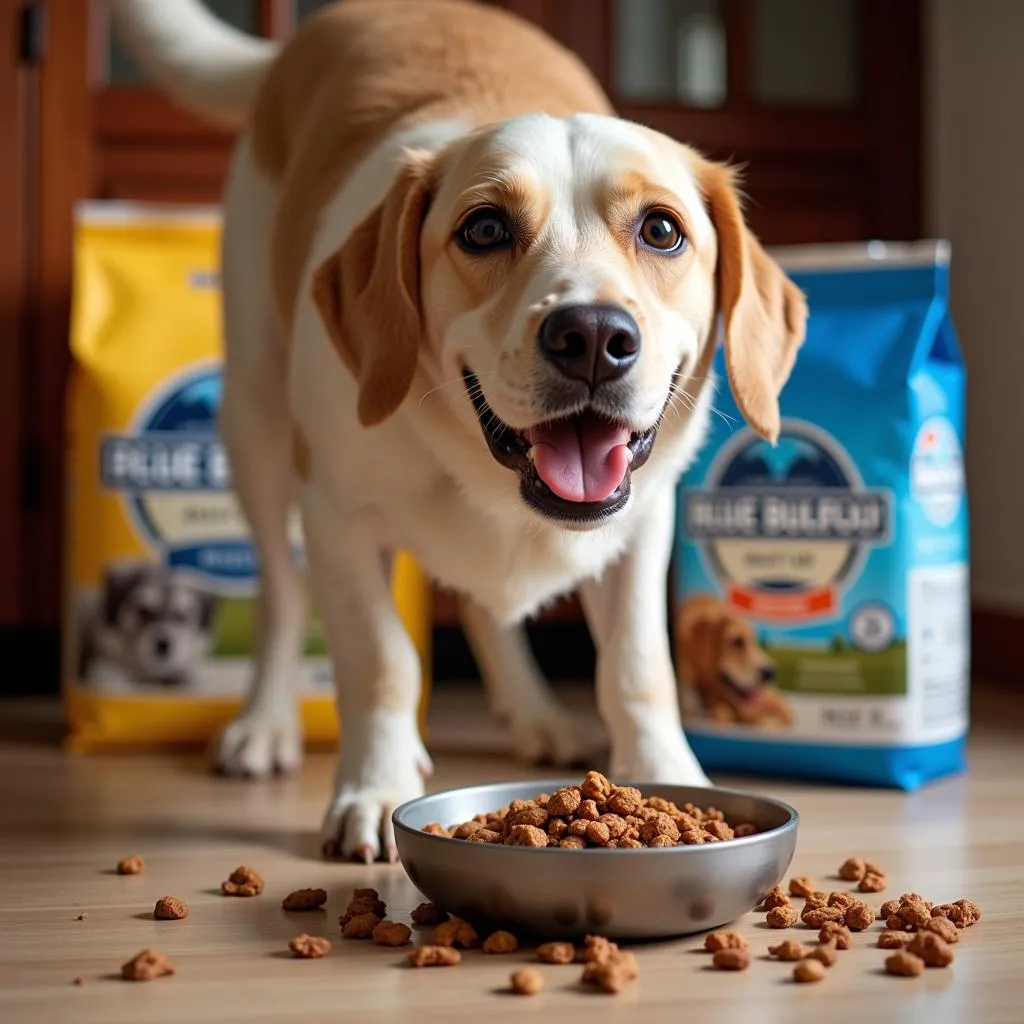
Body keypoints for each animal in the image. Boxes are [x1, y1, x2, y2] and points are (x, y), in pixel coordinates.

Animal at [78, 565, 219, 692]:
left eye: (182, 616)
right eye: (144, 611)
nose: (163, 645)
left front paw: (186, 678)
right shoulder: (103, 663)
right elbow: (112, 674)